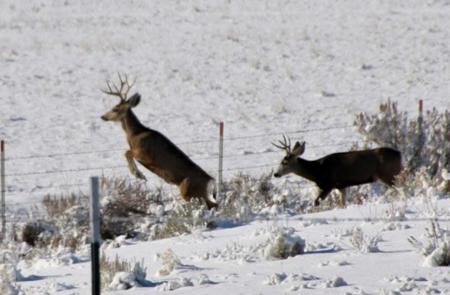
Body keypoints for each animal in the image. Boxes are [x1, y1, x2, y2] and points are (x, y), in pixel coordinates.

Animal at [100, 75, 218, 209]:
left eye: (115, 109)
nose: (103, 116)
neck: (135, 134)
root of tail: (211, 180)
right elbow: (127, 152)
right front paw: (139, 175)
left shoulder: (145, 154)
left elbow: (127, 152)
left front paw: (139, 175)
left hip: (188, 190)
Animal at [272, 136, 402, 208]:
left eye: (284, 162)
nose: (276, 174)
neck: (317, 170)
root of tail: (399, 154)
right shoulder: (341, 186)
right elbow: (342, 204)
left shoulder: (328, 184)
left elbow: (316, 202)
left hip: (388, 174)